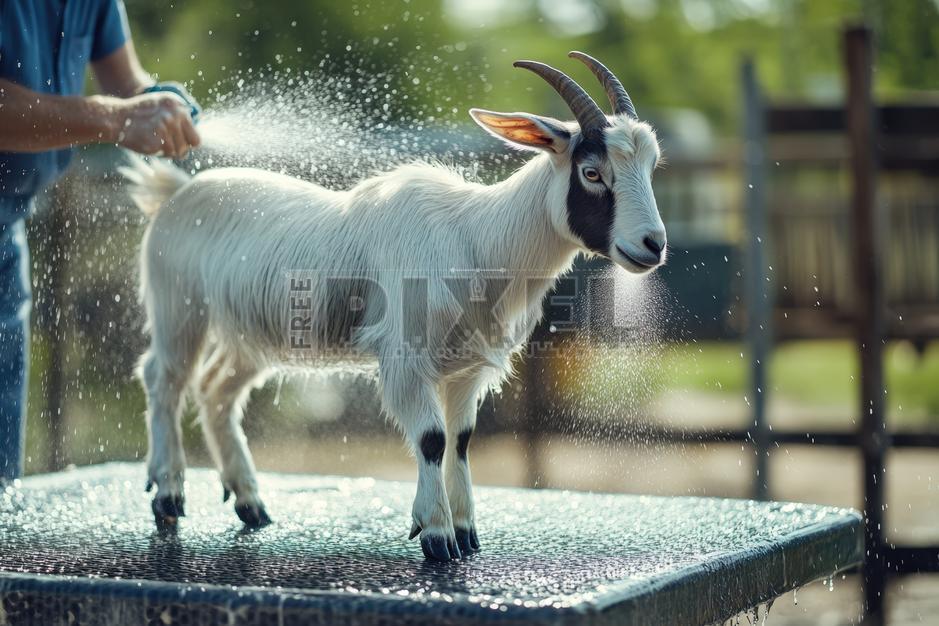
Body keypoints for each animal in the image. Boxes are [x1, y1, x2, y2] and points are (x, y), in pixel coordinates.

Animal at [121, 52, 666, 561]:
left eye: (650, 167)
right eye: (592, 172)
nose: (653, 245)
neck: (476, 238)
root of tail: (176, 192)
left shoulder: (467, 369)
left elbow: (461, 440)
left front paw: (466, 533)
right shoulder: (406, 358)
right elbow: (432, 439)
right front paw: (438, 536)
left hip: (251, 334)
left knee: (216, 391)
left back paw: (250, 504)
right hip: (179, 309)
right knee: (164, 378)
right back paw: (168, 494)